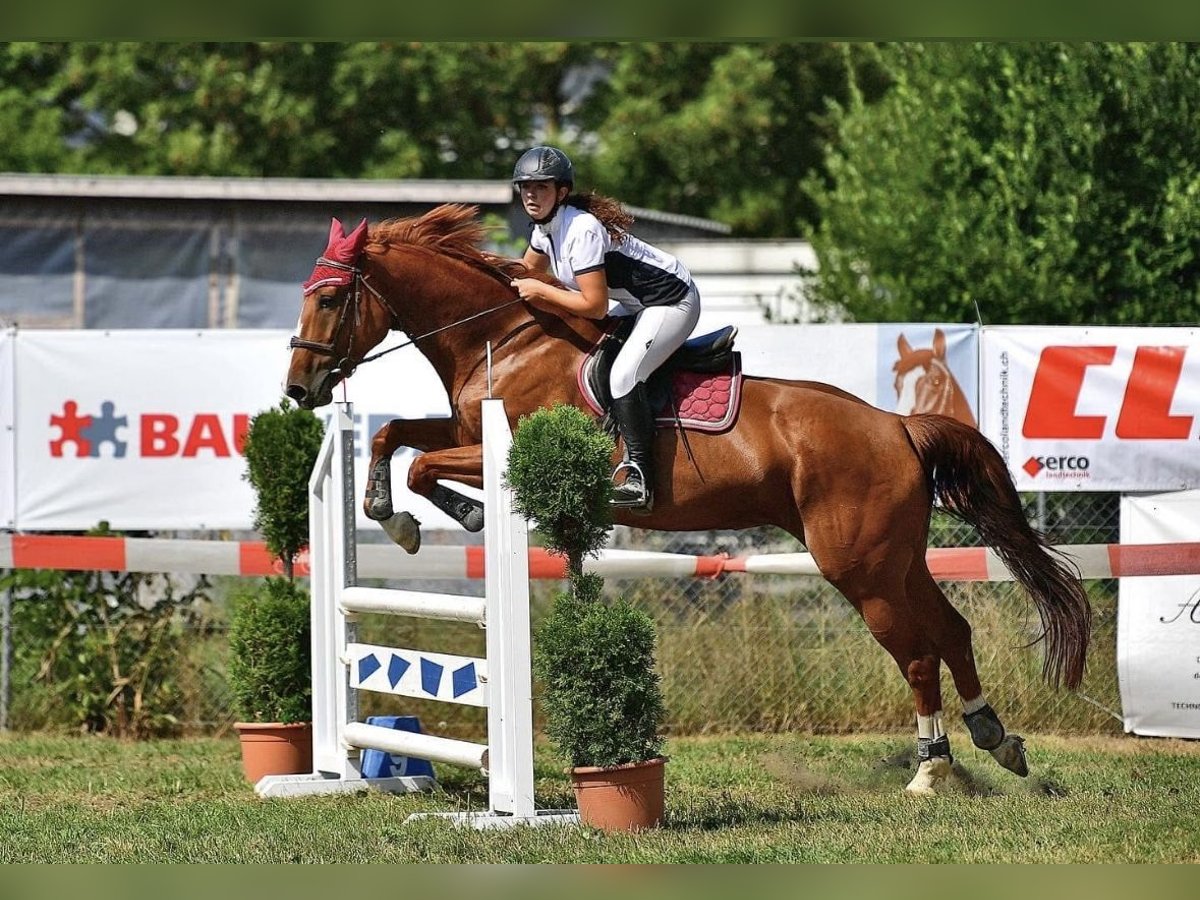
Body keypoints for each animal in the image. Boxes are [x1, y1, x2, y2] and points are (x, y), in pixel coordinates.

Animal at [285, 206, 1094, 796]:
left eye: (328, 298)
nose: (299, 391)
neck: (505, 336)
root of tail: (896, 425)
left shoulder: (499, 450)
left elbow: (423, 463)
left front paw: (442, 518)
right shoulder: (461, 431)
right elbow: (393, 434)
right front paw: (395, 514)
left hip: (857, 566)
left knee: (918, 654)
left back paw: (931, 771)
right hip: (894, 558)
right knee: (951, 631)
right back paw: (996, 740)